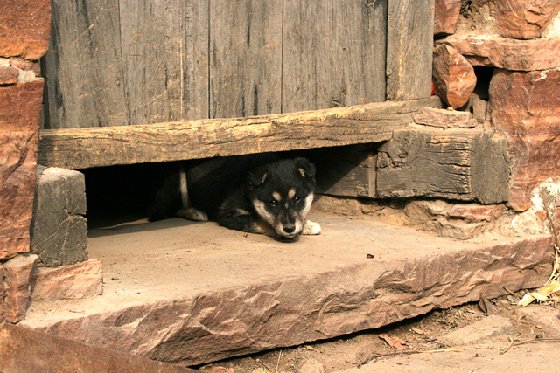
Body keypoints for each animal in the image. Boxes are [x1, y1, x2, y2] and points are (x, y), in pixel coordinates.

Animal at [149, 155, 322, 240]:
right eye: (272, 202)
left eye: (298, 199)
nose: (289, 228)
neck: (249, 191)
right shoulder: (227, 212)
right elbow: (259, 220)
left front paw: (306, 225)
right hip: (176, 178)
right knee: (165, 212)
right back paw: (195, 212)